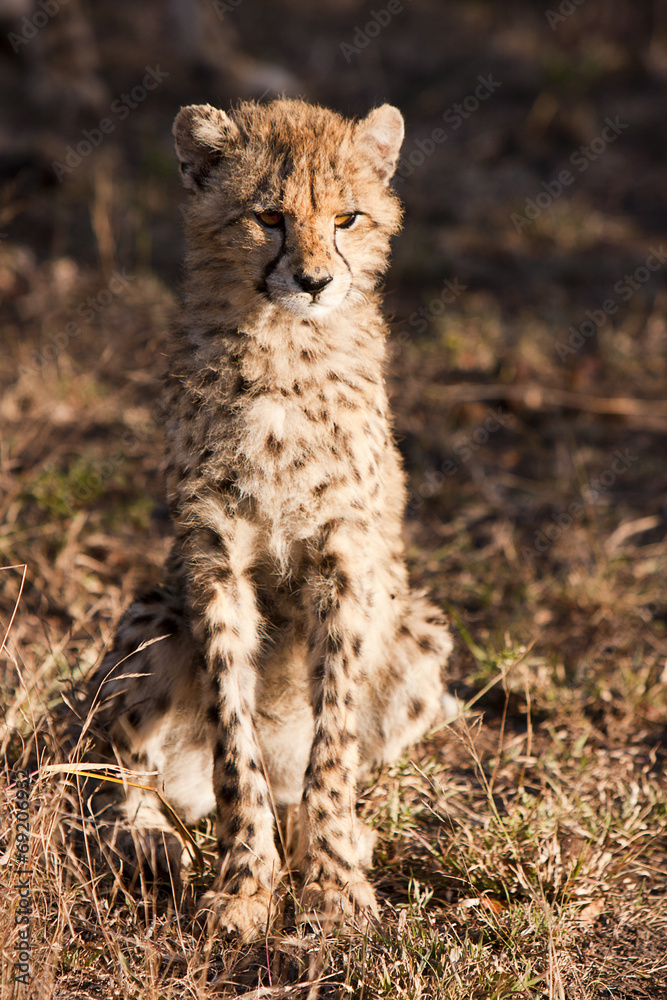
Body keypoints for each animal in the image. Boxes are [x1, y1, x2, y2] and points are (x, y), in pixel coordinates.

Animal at [86, 98, 455, 942]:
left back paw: (338, 831)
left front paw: (331, 881)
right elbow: (234, 738)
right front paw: (246, 885)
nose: (314, 281)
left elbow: (334, 743)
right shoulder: (213, 559)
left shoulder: (343, 563)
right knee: (133, 779)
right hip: (151, 617)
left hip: (418, 636)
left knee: (316, 774)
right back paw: (149, 841)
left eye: (346, 218)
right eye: (269, 217)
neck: (284, 343)